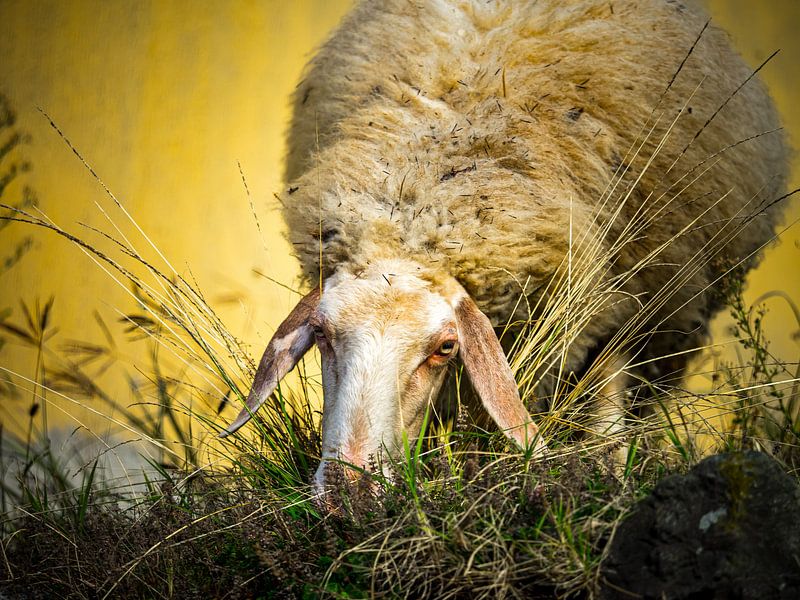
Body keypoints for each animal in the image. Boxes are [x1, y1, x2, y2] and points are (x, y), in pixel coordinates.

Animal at [220, 0, 788, 489]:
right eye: (320, 334)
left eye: (446, 347)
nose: (349, 492)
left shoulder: (622, 299)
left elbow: (606, 408)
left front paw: (606, 477)